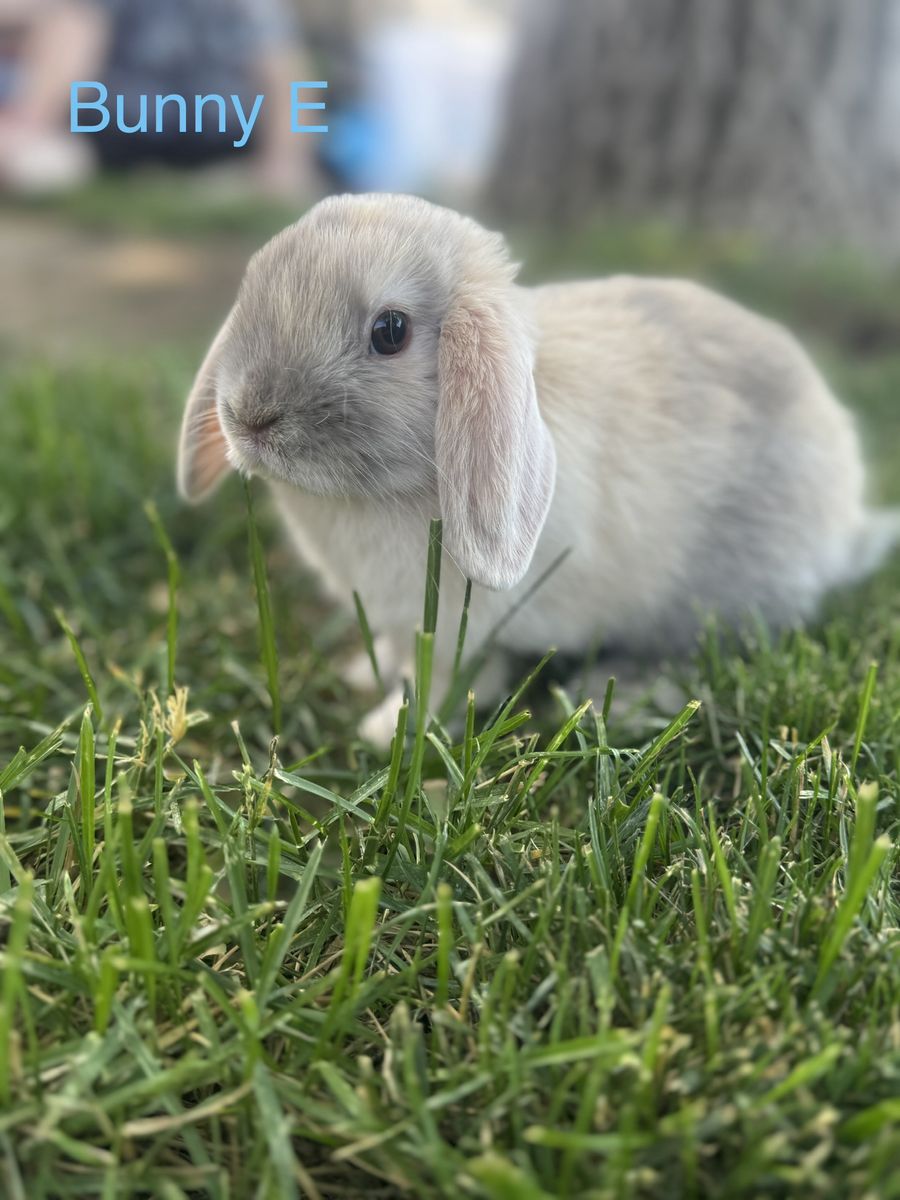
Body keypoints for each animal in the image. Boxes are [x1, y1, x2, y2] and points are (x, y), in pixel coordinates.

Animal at [177, 192, 899, 745]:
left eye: (390, 331)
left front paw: (388, 730)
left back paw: (621, 694)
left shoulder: (452, 627)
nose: (248, 416)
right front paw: (366, 673)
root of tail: (842, 527)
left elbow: (444, 677)